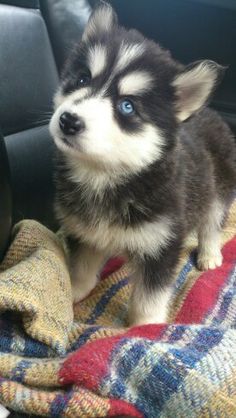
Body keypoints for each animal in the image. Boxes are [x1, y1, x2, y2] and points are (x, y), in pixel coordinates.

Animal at [48, 1, 235, 324]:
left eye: (127, 106)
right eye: (82, 79)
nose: (68, 121)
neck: (106, 175)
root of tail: (210, 111)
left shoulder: (161, 243)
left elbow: (149, 298)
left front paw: (145, 327)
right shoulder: (85, 232)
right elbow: (82, 268)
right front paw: (72, 293)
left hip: (219, 190)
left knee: (212, 223)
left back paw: (210, 254)